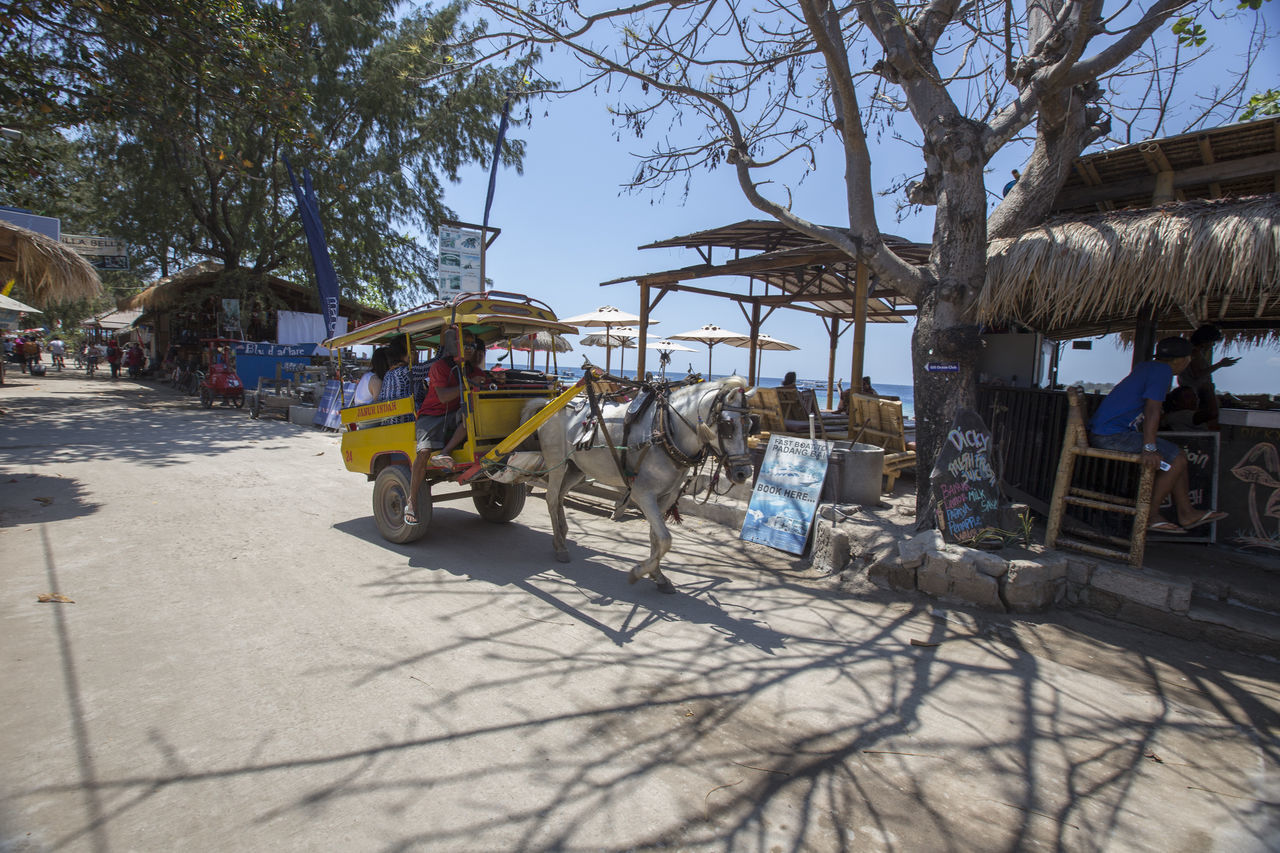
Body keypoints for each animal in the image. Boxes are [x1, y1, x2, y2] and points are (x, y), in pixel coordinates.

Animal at [519, 376, 757, 589]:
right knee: (551, 498)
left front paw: (658, 575)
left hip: (576, 468)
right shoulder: (643, 494)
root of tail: (550, 403)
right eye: (728, 425)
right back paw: (560, 547)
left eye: (751, 424)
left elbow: (656, 537)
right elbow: (665, 539)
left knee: (560, 496)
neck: (665, 429)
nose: (743, 473)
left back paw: (561, 534)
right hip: (556, 463)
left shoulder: (667, 496)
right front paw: (638, 571)